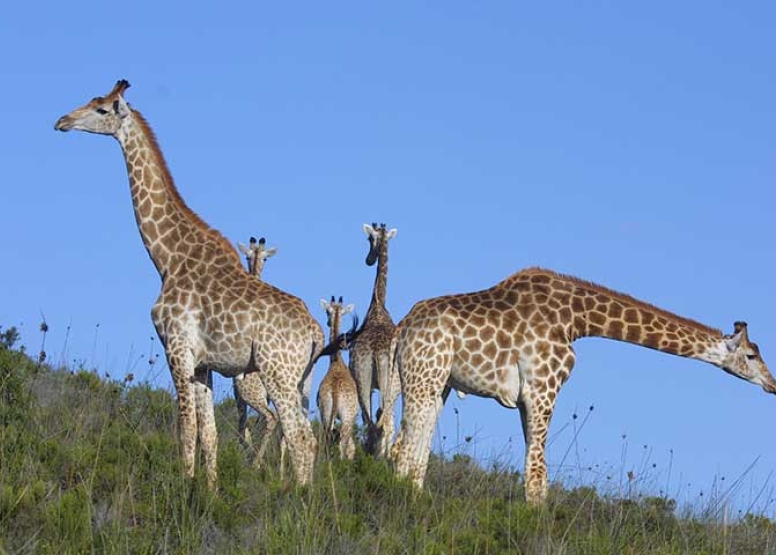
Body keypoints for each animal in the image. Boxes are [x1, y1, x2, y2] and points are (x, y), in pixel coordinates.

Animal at [53, 80, 322, 488]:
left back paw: (297, 500)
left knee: (300, 437)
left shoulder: (177, 350)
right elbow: (208, 434)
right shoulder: (202, 365)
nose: (62, 121)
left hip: (277, 373)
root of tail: (316, 333)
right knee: (308, 437)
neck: (167, 258)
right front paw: (208, 492)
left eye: (101, 108)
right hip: (299, 380)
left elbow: (184, 429)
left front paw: (181, 493)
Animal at [316, 298, 360, 462]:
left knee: (327, 438)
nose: (329, 322)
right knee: (343, 443)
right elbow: (351, 447)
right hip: (347, 417)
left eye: (328, 312)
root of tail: (335, 391)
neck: (336, 362)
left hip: (326, 412)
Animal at [394, 268, 776, 506]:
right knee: (405, 446)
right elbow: (537, 473)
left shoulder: (529, 397)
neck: (578, 319)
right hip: (425, 374)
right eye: (752, 354)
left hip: (434, 380)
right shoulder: (543, 388)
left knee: (412, 442)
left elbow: (535, 466)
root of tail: (404, 327)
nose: (772, 384)